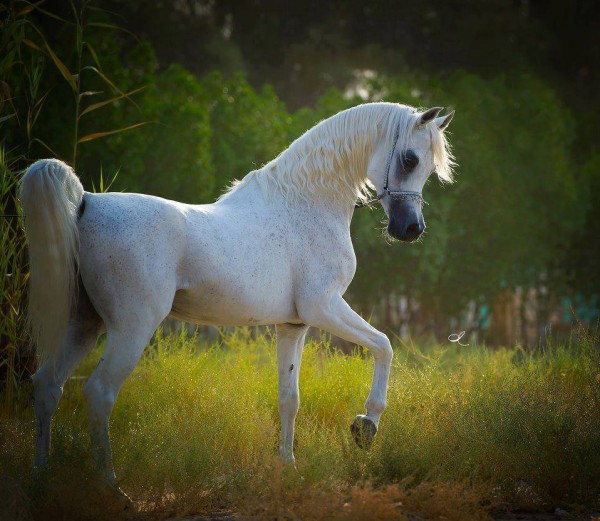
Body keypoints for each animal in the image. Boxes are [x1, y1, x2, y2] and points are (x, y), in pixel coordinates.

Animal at [19, 100, 454, 488]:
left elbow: (289, 398)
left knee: (47, 386)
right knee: (99, 393)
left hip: (84, 323)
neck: (304, 205)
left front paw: (289, 467)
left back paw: (41, 475)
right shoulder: (325, 308)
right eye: (410, 159)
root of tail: (86, 204)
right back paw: (112, 488)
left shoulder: (294, 325)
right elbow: (384, 346)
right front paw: (365, 427)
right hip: (131, 328)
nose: (410, 229)